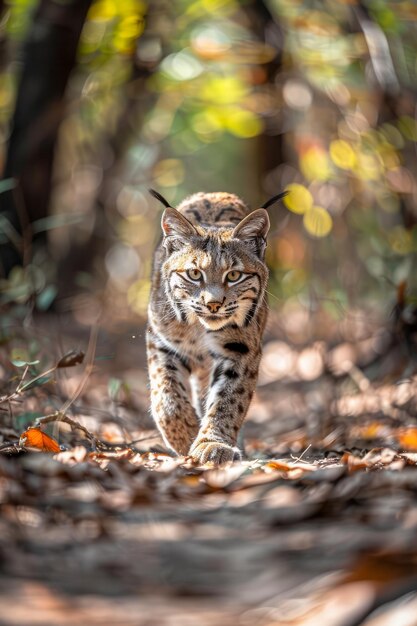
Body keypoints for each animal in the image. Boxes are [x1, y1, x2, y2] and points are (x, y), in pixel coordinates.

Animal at [146, 188, 286, 460]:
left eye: (234, 275)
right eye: (194, 274)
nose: (213, 304)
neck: (199, 329)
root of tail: (215, 193)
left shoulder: (242, 349)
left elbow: (228, 400)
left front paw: (211, 443)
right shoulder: (160, 340)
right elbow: (165, 394)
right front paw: (185, 435)